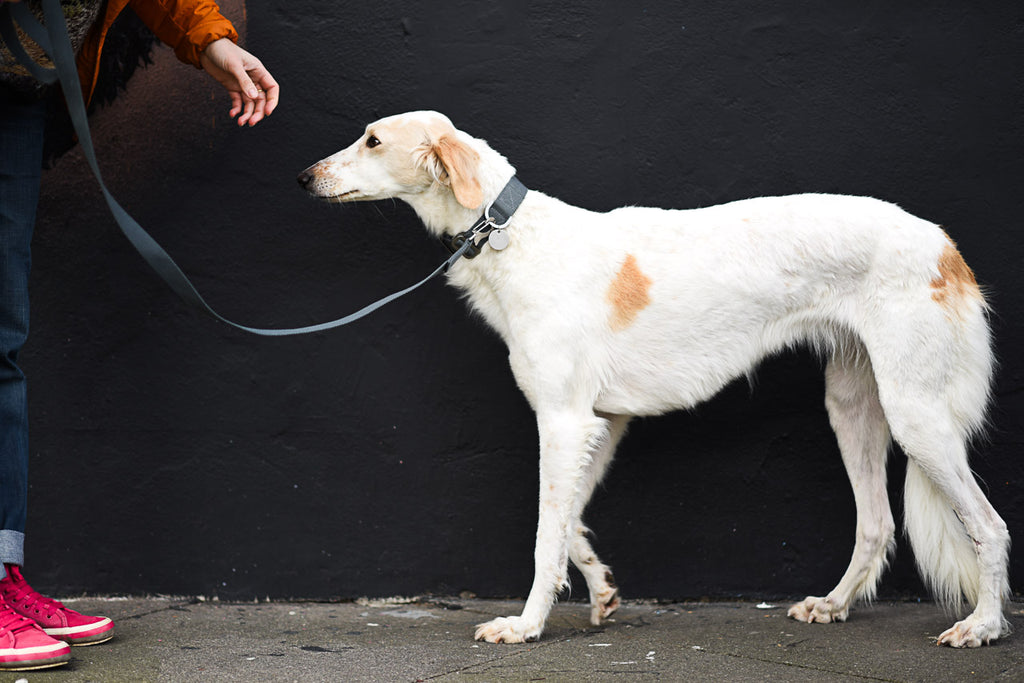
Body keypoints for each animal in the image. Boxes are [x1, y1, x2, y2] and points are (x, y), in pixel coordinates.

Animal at [296, 111, 1007, 647]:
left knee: (990, 527)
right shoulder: (601, 423)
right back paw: (832, 605)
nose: (304, 177)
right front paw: (601, 591)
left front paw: (526, 626)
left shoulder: (562, 421)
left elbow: (545, 536)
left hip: (917, 415)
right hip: (854, 407)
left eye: (372, 140)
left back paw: (984, 625)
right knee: (877, 524)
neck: (514, 236)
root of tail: (944, 244)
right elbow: (571, 524)